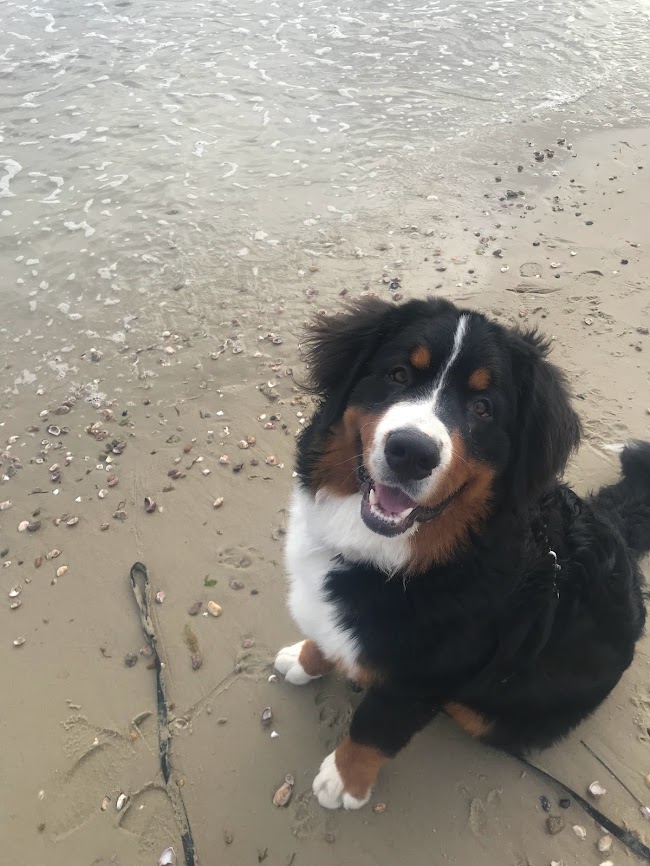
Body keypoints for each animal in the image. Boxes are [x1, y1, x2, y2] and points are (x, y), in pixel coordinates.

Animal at [272, 296, 648, 808]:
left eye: (483, 408)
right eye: (398, 375)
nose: (411, 452)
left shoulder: (419, 680)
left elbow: (374, 729)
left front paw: (343, 781)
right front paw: (306, 659)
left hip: (492, 712)